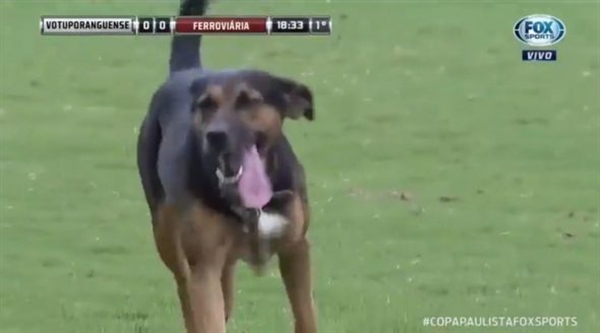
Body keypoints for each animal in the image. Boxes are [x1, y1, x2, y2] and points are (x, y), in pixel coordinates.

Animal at [134, 0, 316, 332]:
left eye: (249, 101)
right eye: (206, 105)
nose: (215, 135)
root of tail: (187, 71)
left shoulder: (296, 250)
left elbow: (306, 315)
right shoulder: (203, 266)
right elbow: (206, 316)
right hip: (167, 237)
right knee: (186, 292)